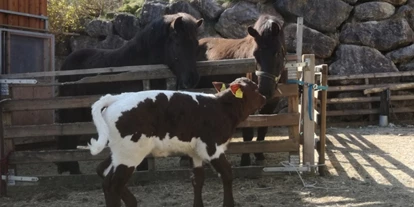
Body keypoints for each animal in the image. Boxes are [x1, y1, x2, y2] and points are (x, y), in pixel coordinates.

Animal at [89, 77, 266, 207]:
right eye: (255, 89)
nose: (264, 97)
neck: (221, 108)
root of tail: (116, 98)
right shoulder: (211, 148)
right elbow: (227, 174)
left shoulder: (195, 152)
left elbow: (197, 180)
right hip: (130, 154)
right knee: (113, 185)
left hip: (119, 153)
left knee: (103, 173)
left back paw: (132, 202)